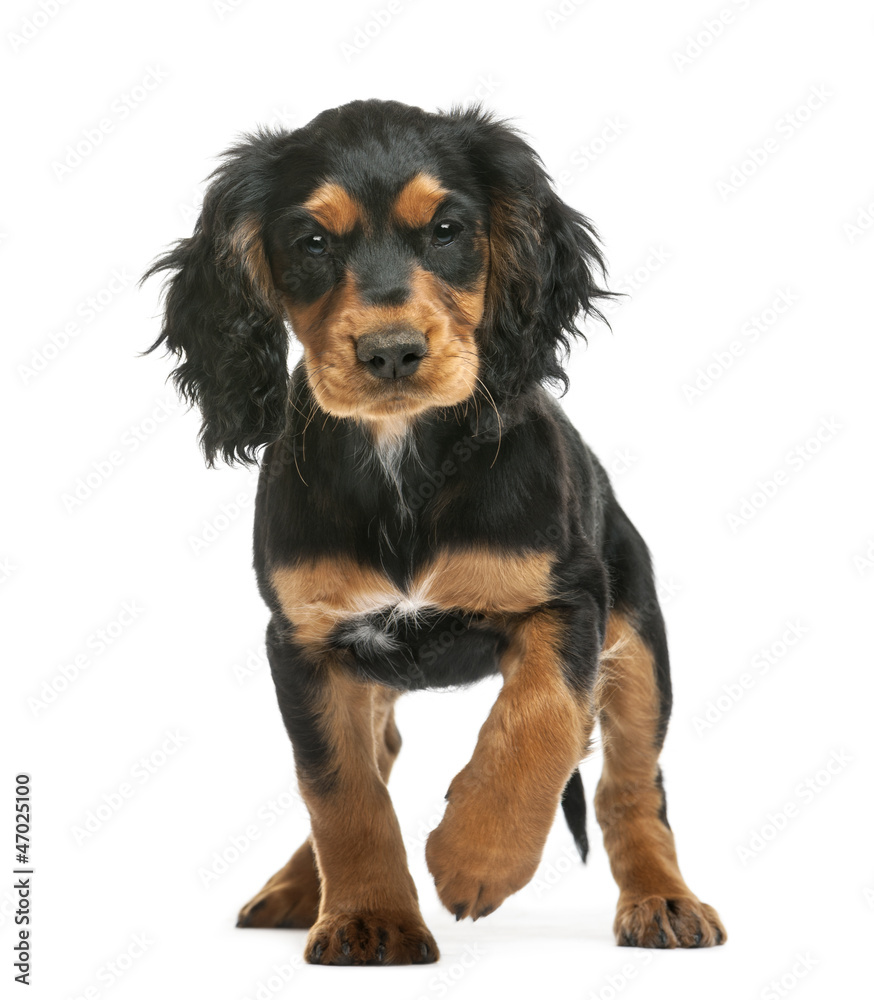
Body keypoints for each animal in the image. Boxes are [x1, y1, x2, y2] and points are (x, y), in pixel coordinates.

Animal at [146, 99, 724, 960]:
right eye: (311, 242)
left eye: (448, 229)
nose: (391, 352)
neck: (401, 459)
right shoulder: (304, 641)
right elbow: (340, 790)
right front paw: (370, 919)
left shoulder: (568, 602)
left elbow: (542, 721)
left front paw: (473, 860)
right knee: (375, 753)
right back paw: (298, 887)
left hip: (638, 634)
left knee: (630, 781)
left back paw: (663, 900)